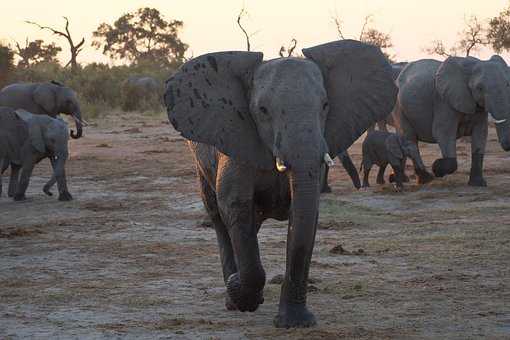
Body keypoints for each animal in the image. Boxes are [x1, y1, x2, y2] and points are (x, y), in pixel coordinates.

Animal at [165, 40, 396, 330]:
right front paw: (240, 292)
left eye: (325, 105)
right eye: (262, 111)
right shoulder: (236, 142)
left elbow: (303, 214)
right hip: (200, 162)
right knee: (219, 217)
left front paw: (295, 322)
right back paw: (232, 297)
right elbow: (235, 206)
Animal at [394, 57, 510, 187]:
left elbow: (480, 133)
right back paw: (428, 178)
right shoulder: (443, 101)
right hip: (399, 107)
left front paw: (478, 184)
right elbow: (443, 132)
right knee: (409, 140)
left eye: (508, 84)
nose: (507, 145)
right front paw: (436, 168)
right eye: (479, 88)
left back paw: (423, 179)